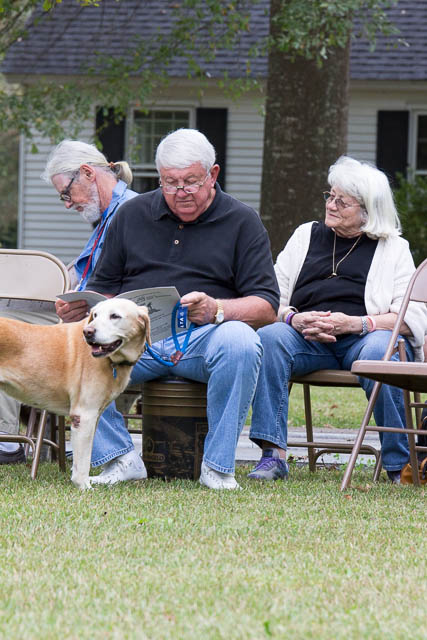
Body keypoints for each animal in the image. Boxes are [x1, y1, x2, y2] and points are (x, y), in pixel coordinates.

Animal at [0, 298, 150, 490]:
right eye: (95, 315)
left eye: (114, 316)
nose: (88, 332)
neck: (112, 362)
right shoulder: (84, 416)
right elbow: (83, 462)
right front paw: (84, 487)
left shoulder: (94, 416)